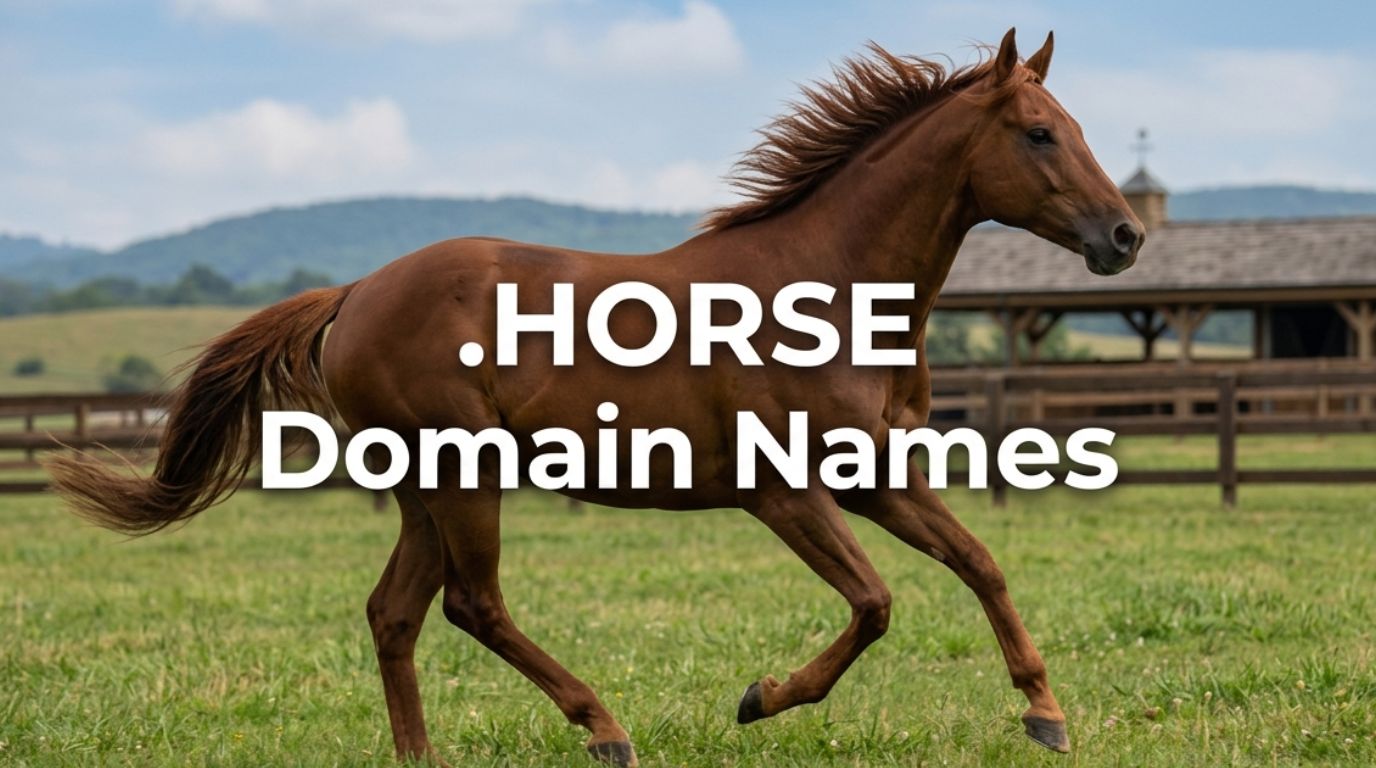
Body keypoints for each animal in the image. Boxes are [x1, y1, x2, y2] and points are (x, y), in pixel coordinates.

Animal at [50, 29, 1143, 767]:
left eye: (1076, 130)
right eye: (1039, 135)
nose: (1124, 237)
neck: (824, 285)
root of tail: (354, 294)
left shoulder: (870, 476)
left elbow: (978, 561)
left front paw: (1044, 714)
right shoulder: (782, 493)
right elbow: (875, 603)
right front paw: (759, 698)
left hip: (424, 485)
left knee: (395, 612)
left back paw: (424, 756)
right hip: (462, 473)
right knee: (472, 604)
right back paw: (604, 727)